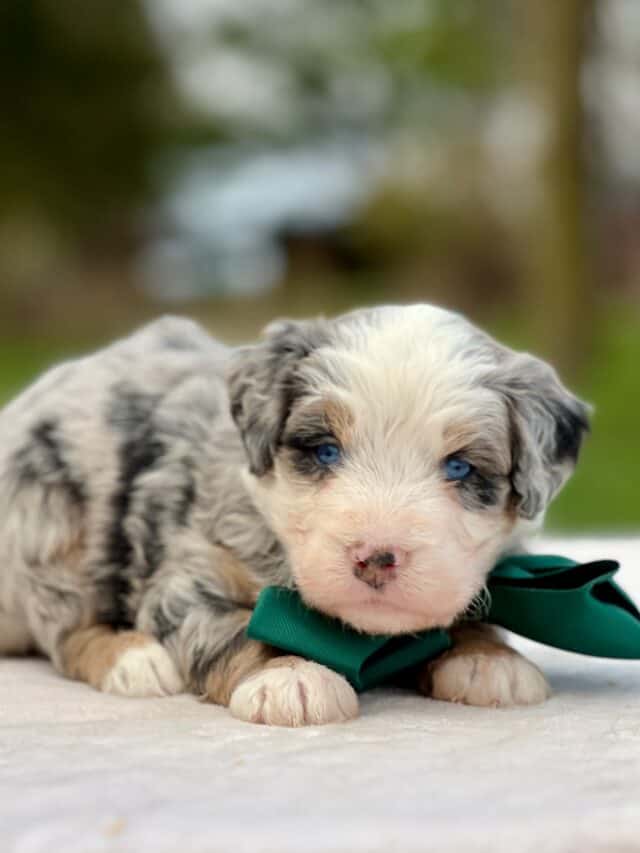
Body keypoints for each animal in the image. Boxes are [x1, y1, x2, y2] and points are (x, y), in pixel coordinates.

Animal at [0, 302, 592, 724]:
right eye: (325, 451)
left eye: (460, 467)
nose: (376, 557)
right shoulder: (190, 573)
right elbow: (240, 628)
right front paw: (289, 677)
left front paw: (488, 659)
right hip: (52, 517)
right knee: (66, 628)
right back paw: (134, 659)